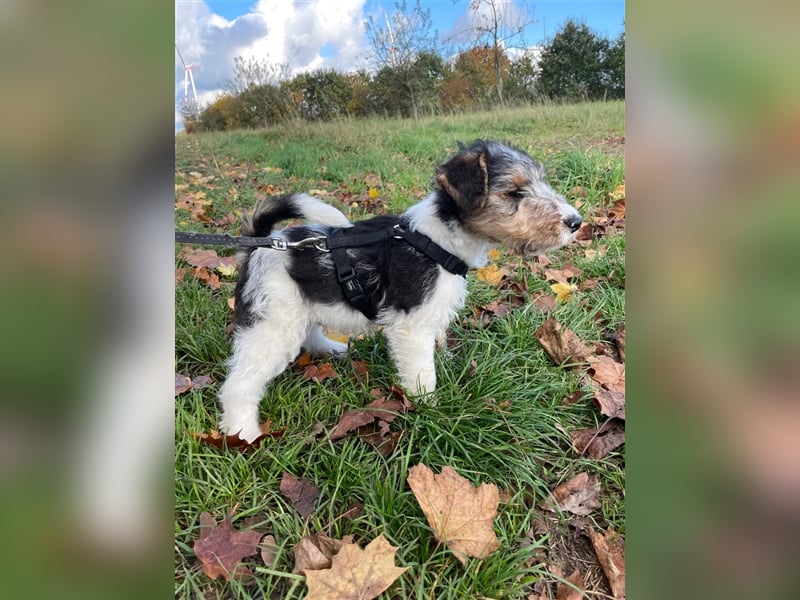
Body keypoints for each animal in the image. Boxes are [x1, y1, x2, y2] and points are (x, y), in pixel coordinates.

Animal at [219, 139, 580, 440]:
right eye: (514, 192)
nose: (576, 222)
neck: (438, 240)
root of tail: (259, 245)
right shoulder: (412, 328)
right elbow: (423, 374)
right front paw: (431, 409)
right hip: (272, 326)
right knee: (239, 385)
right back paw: (242, 433)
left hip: (297, 311)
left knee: (309, 334)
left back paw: (333, 349)